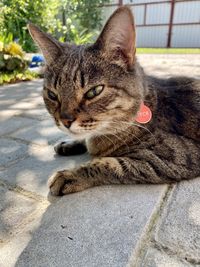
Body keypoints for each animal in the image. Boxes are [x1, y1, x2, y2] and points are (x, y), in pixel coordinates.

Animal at [28, 4, 200, 197]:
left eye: (94, 92)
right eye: (52, 95)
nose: (65, 121)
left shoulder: (177, 156)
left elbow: (110, 163)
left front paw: (70, 175)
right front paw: (70, 144)